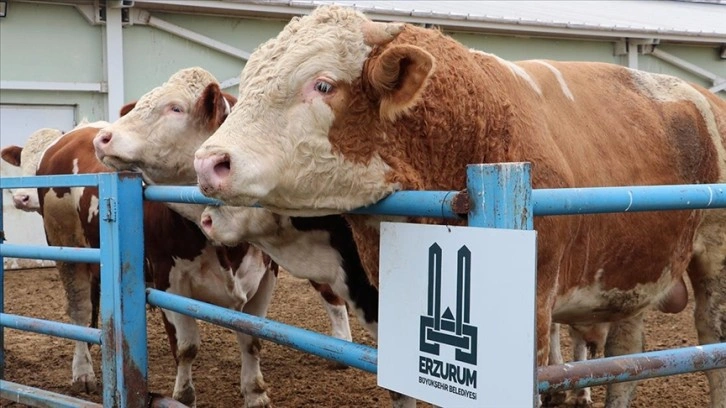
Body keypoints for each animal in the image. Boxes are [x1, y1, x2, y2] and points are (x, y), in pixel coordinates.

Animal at [192, 6, 726, 408]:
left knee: (710, 344)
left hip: (713, 267)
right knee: (626, 356)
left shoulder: (532, 314)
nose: (207, 162)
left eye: (322, 85)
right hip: (637, 274)